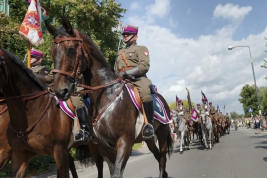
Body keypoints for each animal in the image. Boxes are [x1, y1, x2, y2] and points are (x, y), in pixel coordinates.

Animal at [45, 16, 175, 178]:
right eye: (51, 52)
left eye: (70, 50)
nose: (59, 91)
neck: (107, 95)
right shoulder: (104, 146)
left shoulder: (125, 142)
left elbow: (117, 172)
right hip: (148, 140)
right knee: (157, 155)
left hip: (162, 133)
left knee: (162, 158)